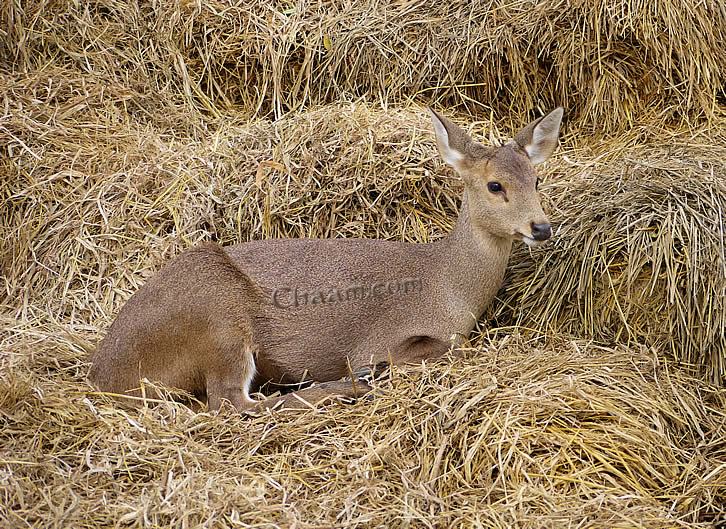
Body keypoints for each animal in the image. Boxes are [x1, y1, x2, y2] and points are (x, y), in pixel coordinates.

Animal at [88, 107, 564, 410]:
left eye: (537, 179)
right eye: (495, 185)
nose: (541, 227)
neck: (448, 284)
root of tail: (104, 374)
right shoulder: (385, 338)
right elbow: (448, 349)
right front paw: (370, 374)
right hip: (217, 318)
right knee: (230, 403)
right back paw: (347, 387)